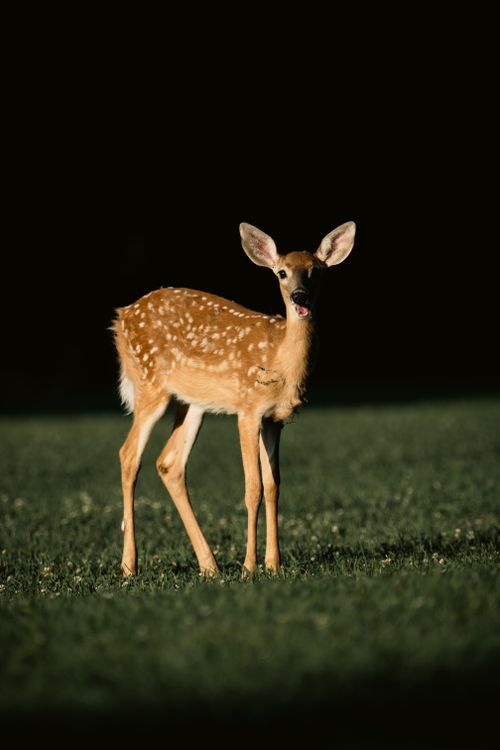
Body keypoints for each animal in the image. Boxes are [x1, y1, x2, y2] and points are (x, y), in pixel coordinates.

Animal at [113, 220, 356, 577]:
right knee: (129, 455)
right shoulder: (247, 409)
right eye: (282, 273)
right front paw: (249, 567)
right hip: (149, 385)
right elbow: (252, 488)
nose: (299, 296)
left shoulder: (274, 419)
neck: (279, 360)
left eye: (316, 271)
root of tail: (121, 317)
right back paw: (130, 565)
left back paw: (209, 565)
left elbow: (274, 486)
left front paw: (274, 564)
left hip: (192, 403)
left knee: (169, 462)